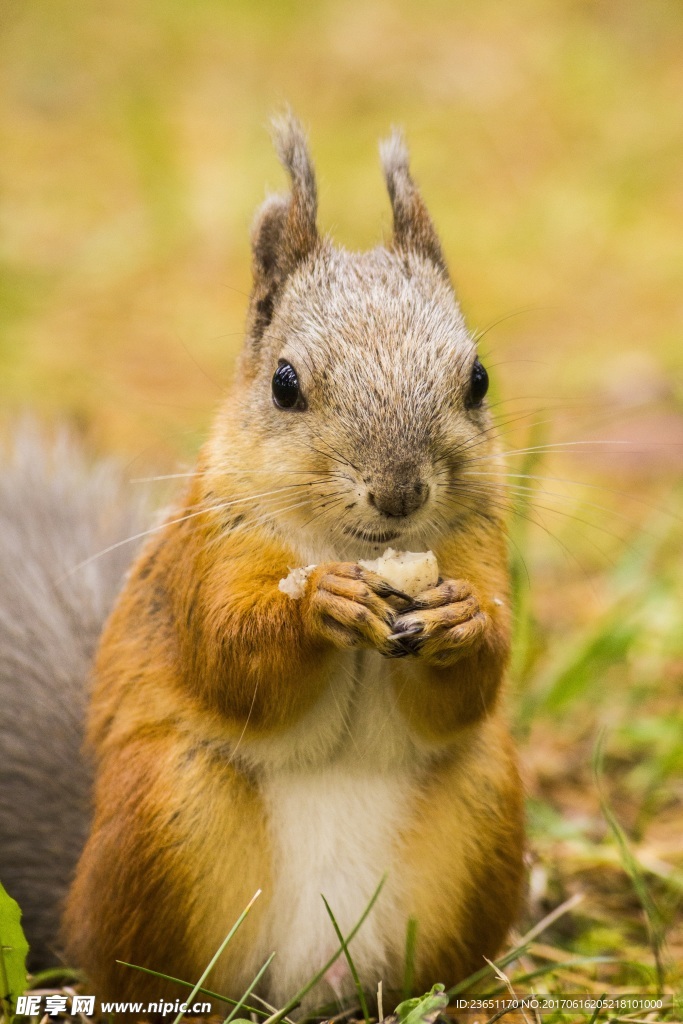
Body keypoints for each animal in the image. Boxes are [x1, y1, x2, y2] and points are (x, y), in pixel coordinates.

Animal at [0, 116, 528, 1011]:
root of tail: (307, 981)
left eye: (479, 380)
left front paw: (461, 620)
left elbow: (469, 689)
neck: (362, 549)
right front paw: (317, 603)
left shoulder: (477, 549)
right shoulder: (206, 556)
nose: (399, 492)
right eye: (284, 384)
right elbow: (228, 659)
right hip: (167, 813)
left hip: (482, 809)